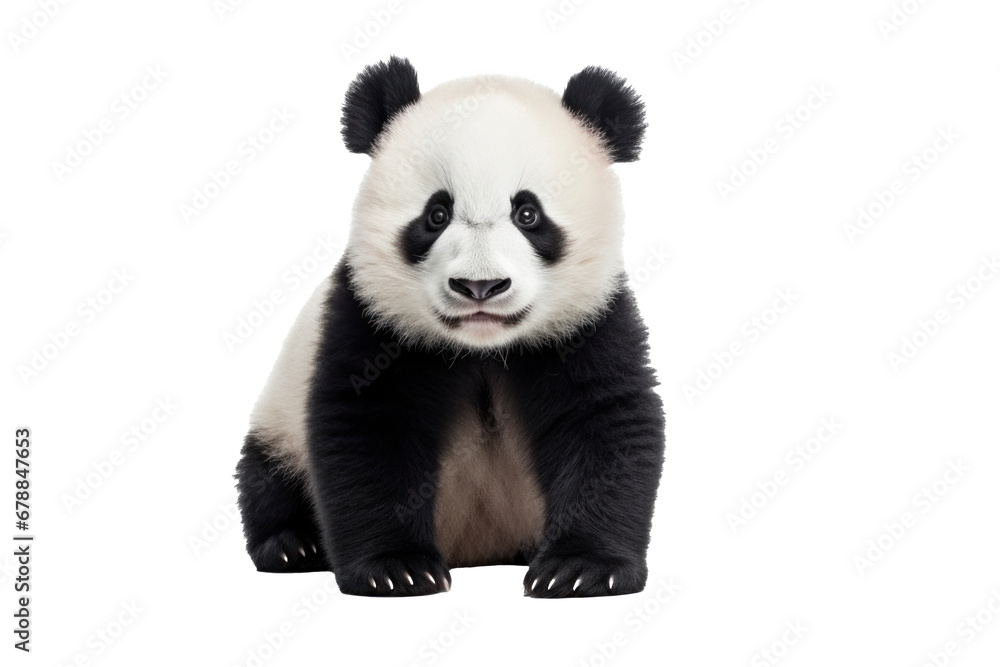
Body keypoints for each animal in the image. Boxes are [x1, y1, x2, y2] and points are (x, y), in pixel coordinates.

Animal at [236, 56, 665, 598]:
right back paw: (294, 545)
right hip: (279, 418)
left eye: (528, 214)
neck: (483, 347)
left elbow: (605, 421)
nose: (479, 286)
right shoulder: (369, 318)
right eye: (437, 214)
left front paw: (582, 568)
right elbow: (365, 429)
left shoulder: (592, 320)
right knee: (266, 476)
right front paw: (395, 569)